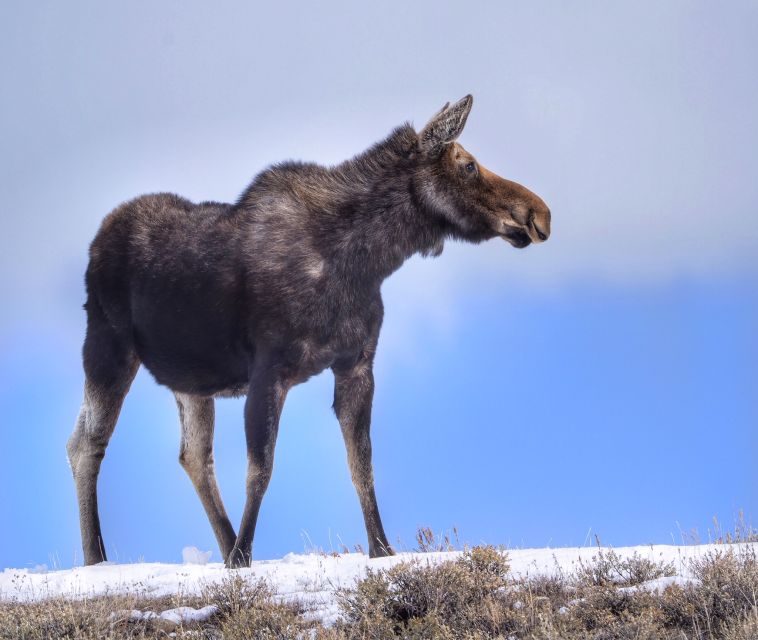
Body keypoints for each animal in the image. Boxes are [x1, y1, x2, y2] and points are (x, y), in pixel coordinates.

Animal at [67, 94, 552, 564]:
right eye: (468, 165)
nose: (540, 214)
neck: (367, 262)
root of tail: (95, 242)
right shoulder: (269, 370)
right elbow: (260, 469)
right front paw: (243, 559)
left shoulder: (357, 366)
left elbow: (362, 466)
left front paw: (381, 549)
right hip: (107, 344)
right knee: (86, 444)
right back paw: (98, 559)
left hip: (190, 378)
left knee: (194, 456)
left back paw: (222, 545)